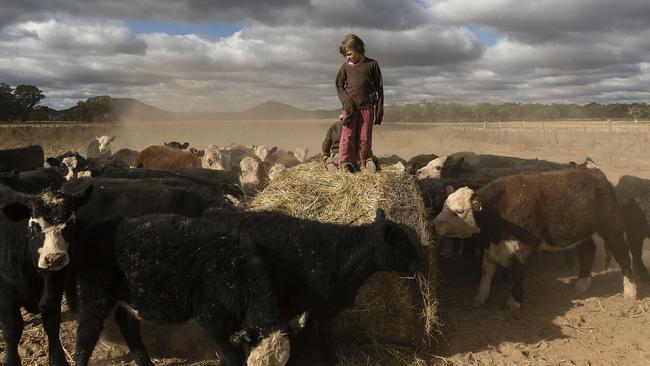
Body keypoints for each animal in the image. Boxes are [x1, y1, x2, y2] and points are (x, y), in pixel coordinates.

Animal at [0, 186, 92, 366]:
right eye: (35, 226)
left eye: (71, 223)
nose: (54, 258)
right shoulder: (6, 293)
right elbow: (13, 328)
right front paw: (10, 360)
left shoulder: (54, 291)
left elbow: (52, 325)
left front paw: (58, 359)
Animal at [73, 214, 292, 366]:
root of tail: (96, 227)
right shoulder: (213, 317)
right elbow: (230, 354)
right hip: (95, 296)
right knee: (86, 332)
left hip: (126, 298)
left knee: (127, 325)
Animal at [430, 167, 632, 310]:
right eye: (445, 205)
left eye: (459, 211)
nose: (433, 224)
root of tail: (597, 174)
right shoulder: (491, 247)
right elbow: (487, 271)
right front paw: (480, 297)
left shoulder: (524, 248)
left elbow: (518, 274)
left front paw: (515, 302)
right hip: (583, 233)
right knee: (588, 250)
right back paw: (582, 283)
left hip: (612, 228)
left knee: (623, 255)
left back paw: (630, 292)